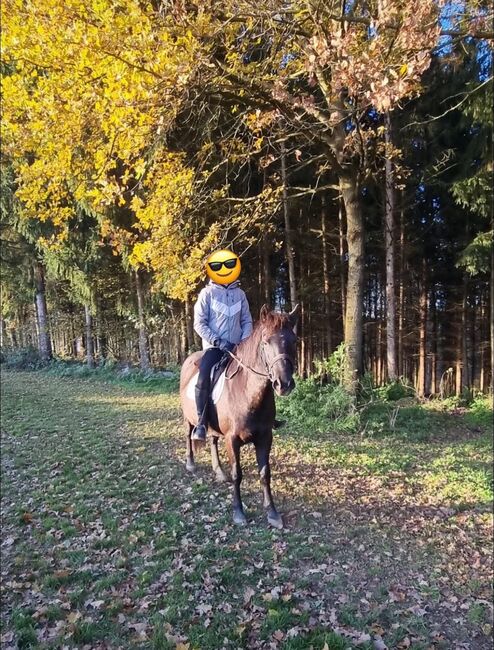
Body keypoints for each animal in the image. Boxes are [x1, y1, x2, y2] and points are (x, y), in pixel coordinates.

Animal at [179, 304, 300, 528]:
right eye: (265, 341)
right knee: (190, 434)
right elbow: (237, 474)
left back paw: (219, 471)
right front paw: (238, 512)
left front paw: (272, 513)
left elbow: (265, 473)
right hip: (189, 419)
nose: (284, 384)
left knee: (212, 441)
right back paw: (190, 463)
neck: (247, 393)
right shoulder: (232, 439)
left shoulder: (265, 438)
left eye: (294, 341)